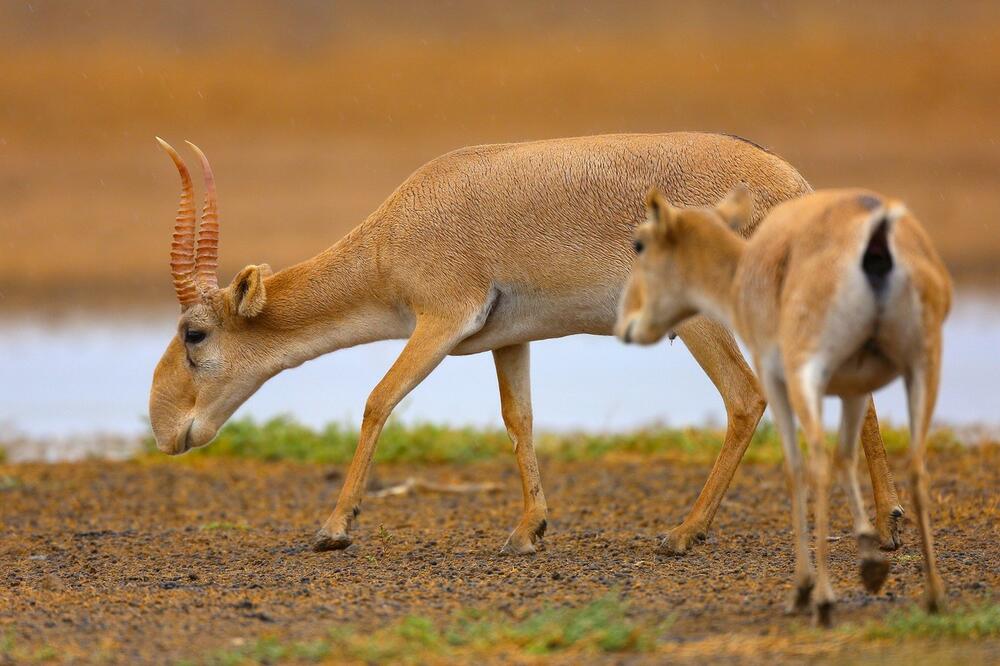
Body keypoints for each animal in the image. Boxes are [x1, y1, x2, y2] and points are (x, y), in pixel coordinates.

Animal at [616, 185, 952, 624]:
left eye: (639, 243)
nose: (625, 323)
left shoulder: (781, 381)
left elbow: (796, 465)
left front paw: (809, 587)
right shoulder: (852, 387)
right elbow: (846, 458)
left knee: (817, 461)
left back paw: (817, 596)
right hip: (920, 368)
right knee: (916, 466)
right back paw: (933, 595)